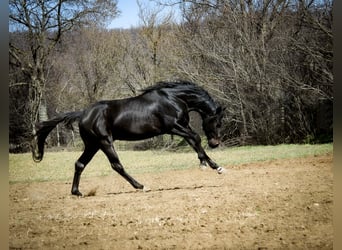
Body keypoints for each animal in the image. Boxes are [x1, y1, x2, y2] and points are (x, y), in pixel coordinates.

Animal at [31, 81, 224, 196]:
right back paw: (141, 186)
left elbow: (194, 142)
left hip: (92, 145)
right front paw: (210, 165)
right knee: (116, 165)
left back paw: (77, 192)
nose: (215, 143)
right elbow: (196, 138)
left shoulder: (182, 127)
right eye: (217, 122)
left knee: (80, 164)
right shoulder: (173, 127)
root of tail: (83, 114)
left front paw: (213, 166)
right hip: (104, 142)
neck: (173, 99)